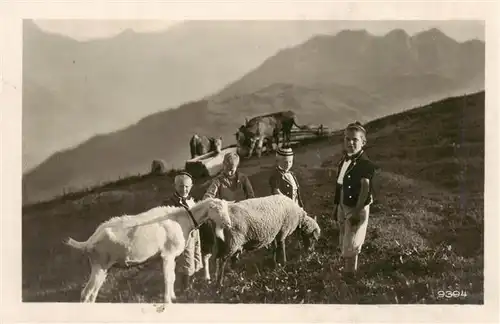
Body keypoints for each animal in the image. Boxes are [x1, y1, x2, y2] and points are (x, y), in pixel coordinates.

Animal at [64, 197, 232, 304]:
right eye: (217, 209)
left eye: (227, 208)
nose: (229, 224)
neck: (181, 219)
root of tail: (89, 241)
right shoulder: (167, 255)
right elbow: (168, 278)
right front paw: (168, 301)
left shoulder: (169, 257)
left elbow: (172, 277)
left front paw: (173, 297)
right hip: (99, 265)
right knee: (86, 294)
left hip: (103, 268)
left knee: (92, 293)